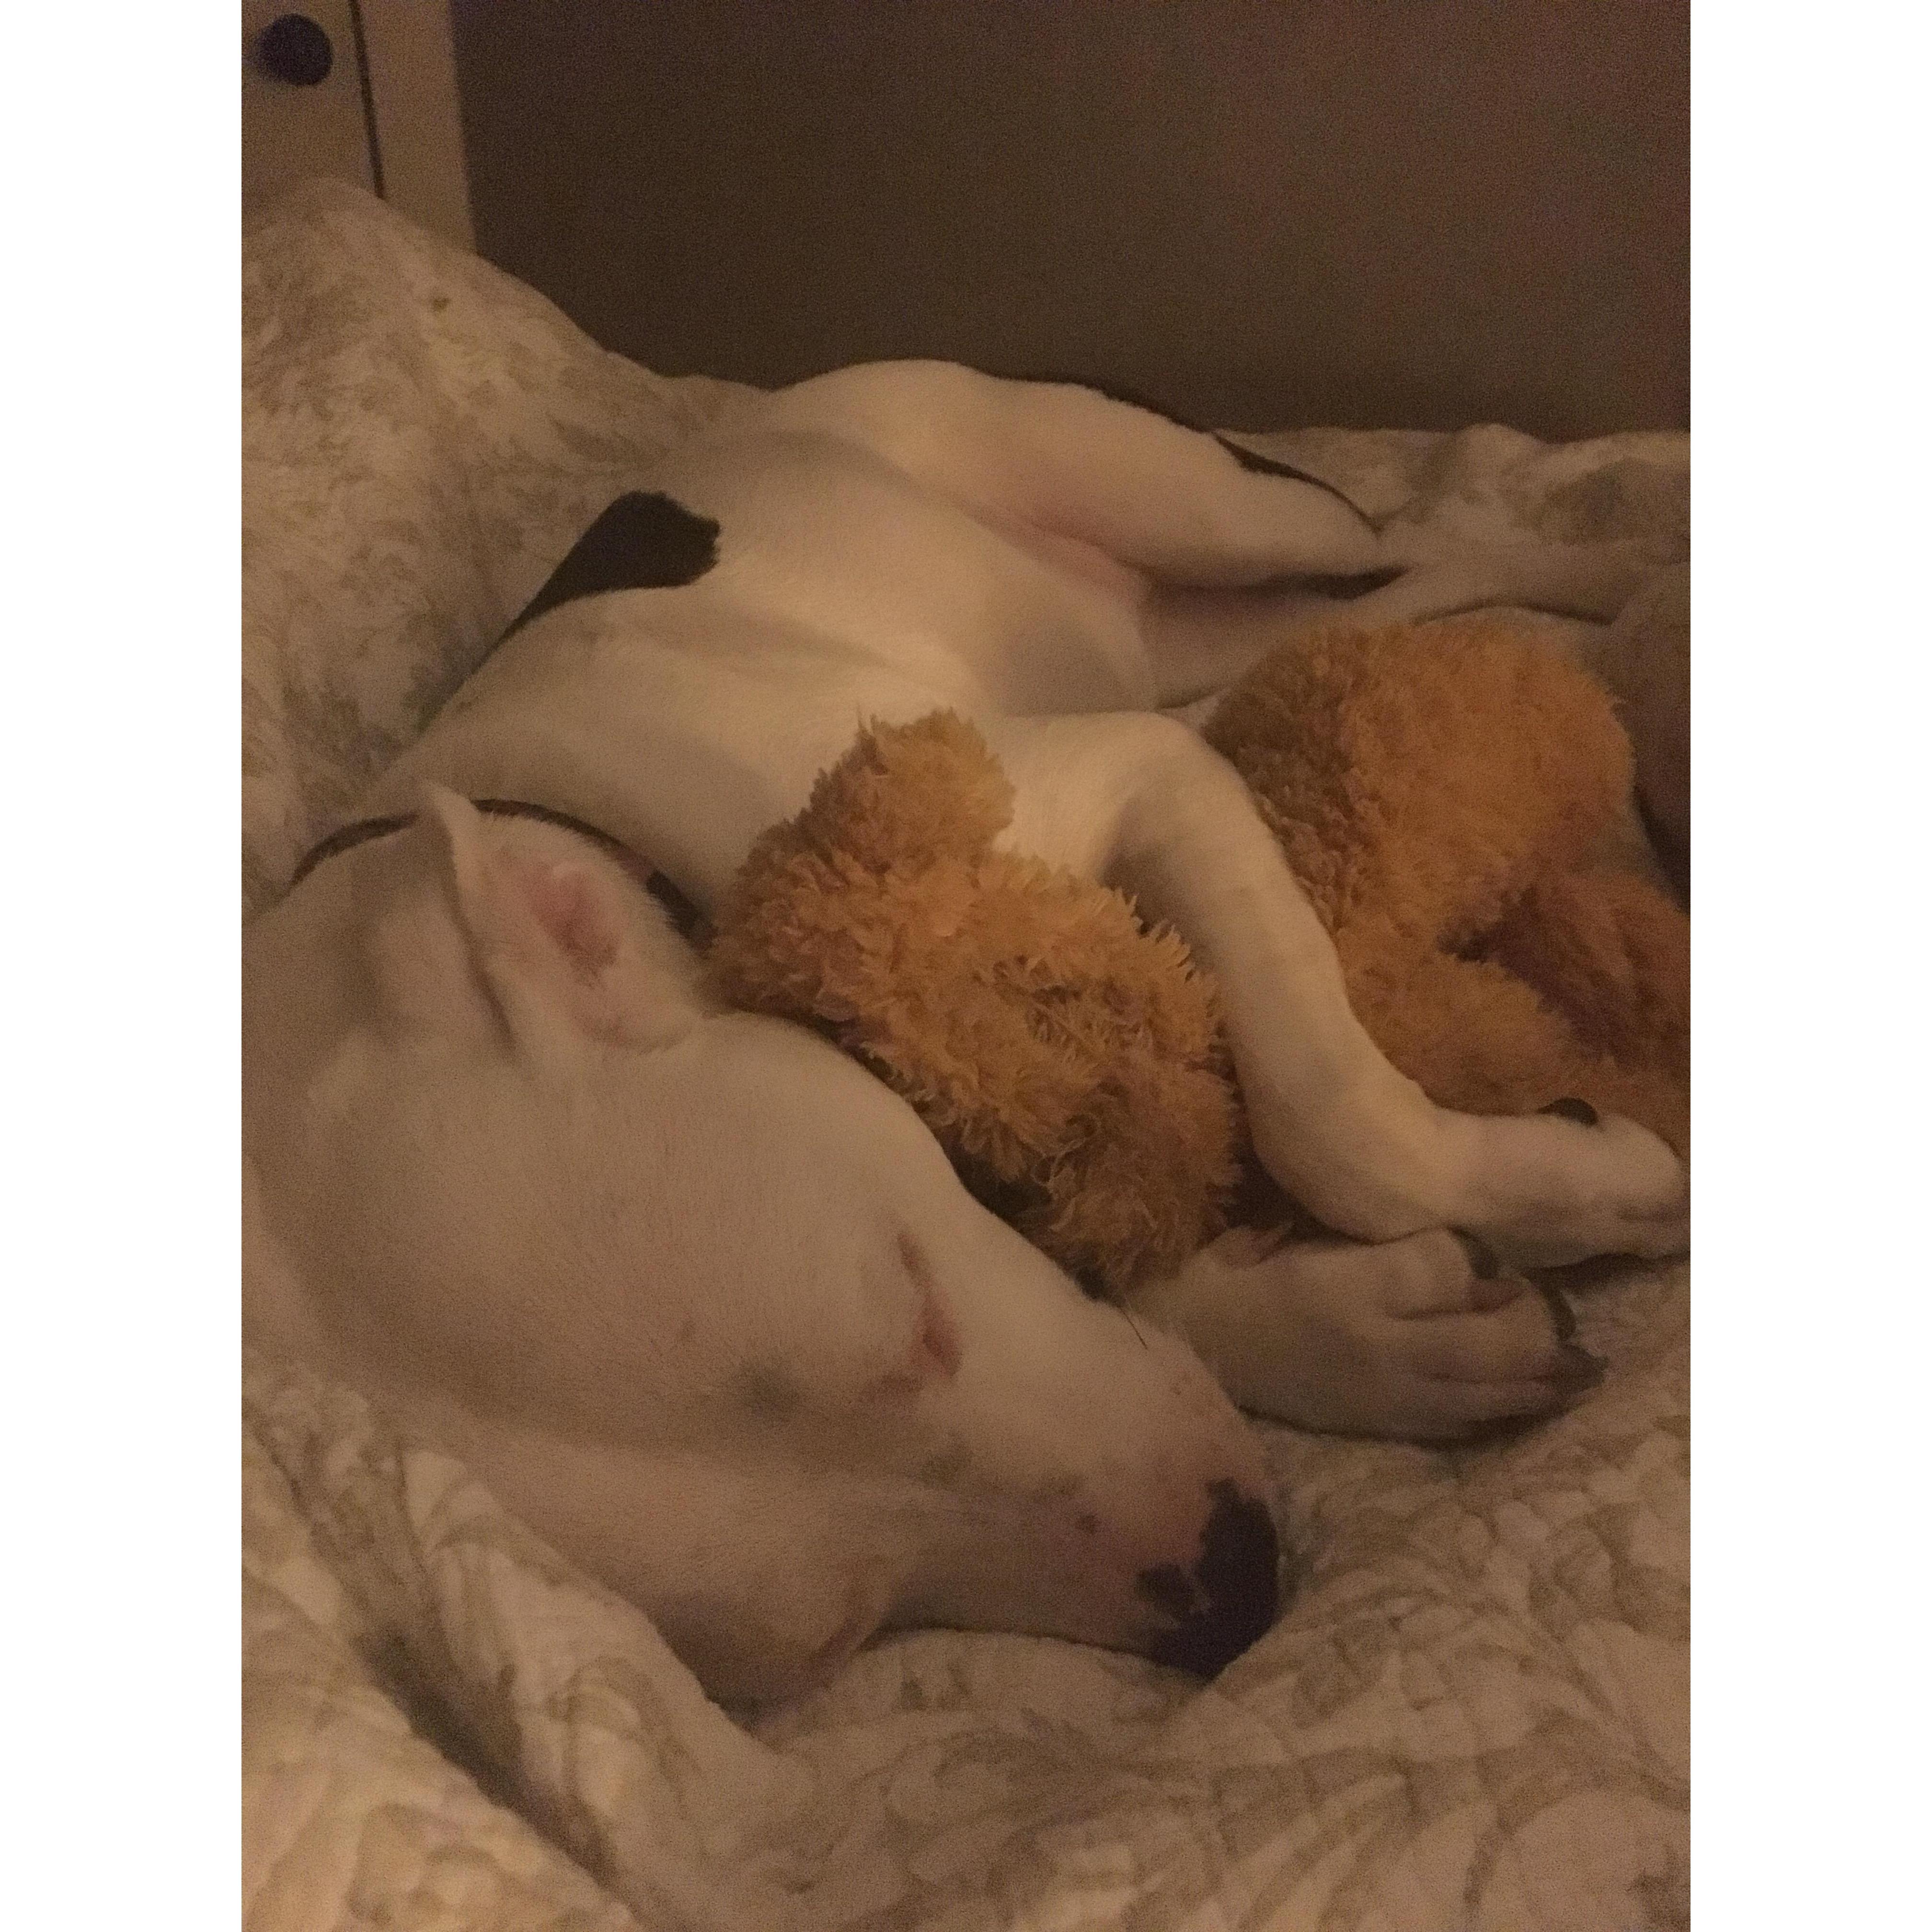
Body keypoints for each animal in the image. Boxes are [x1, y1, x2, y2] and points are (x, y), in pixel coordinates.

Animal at [245, 359, 1692, 1692]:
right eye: (830, 1635)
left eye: (915, 1309)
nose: (1232, 1580)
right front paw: (1378, 1339)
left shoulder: (1133, 779)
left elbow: (1337, 1120)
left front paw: (1593, 1183)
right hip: (1208, 630)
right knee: (1407, 580)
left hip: (1211, 507)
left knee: (1442, 531)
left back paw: (1630, 559)